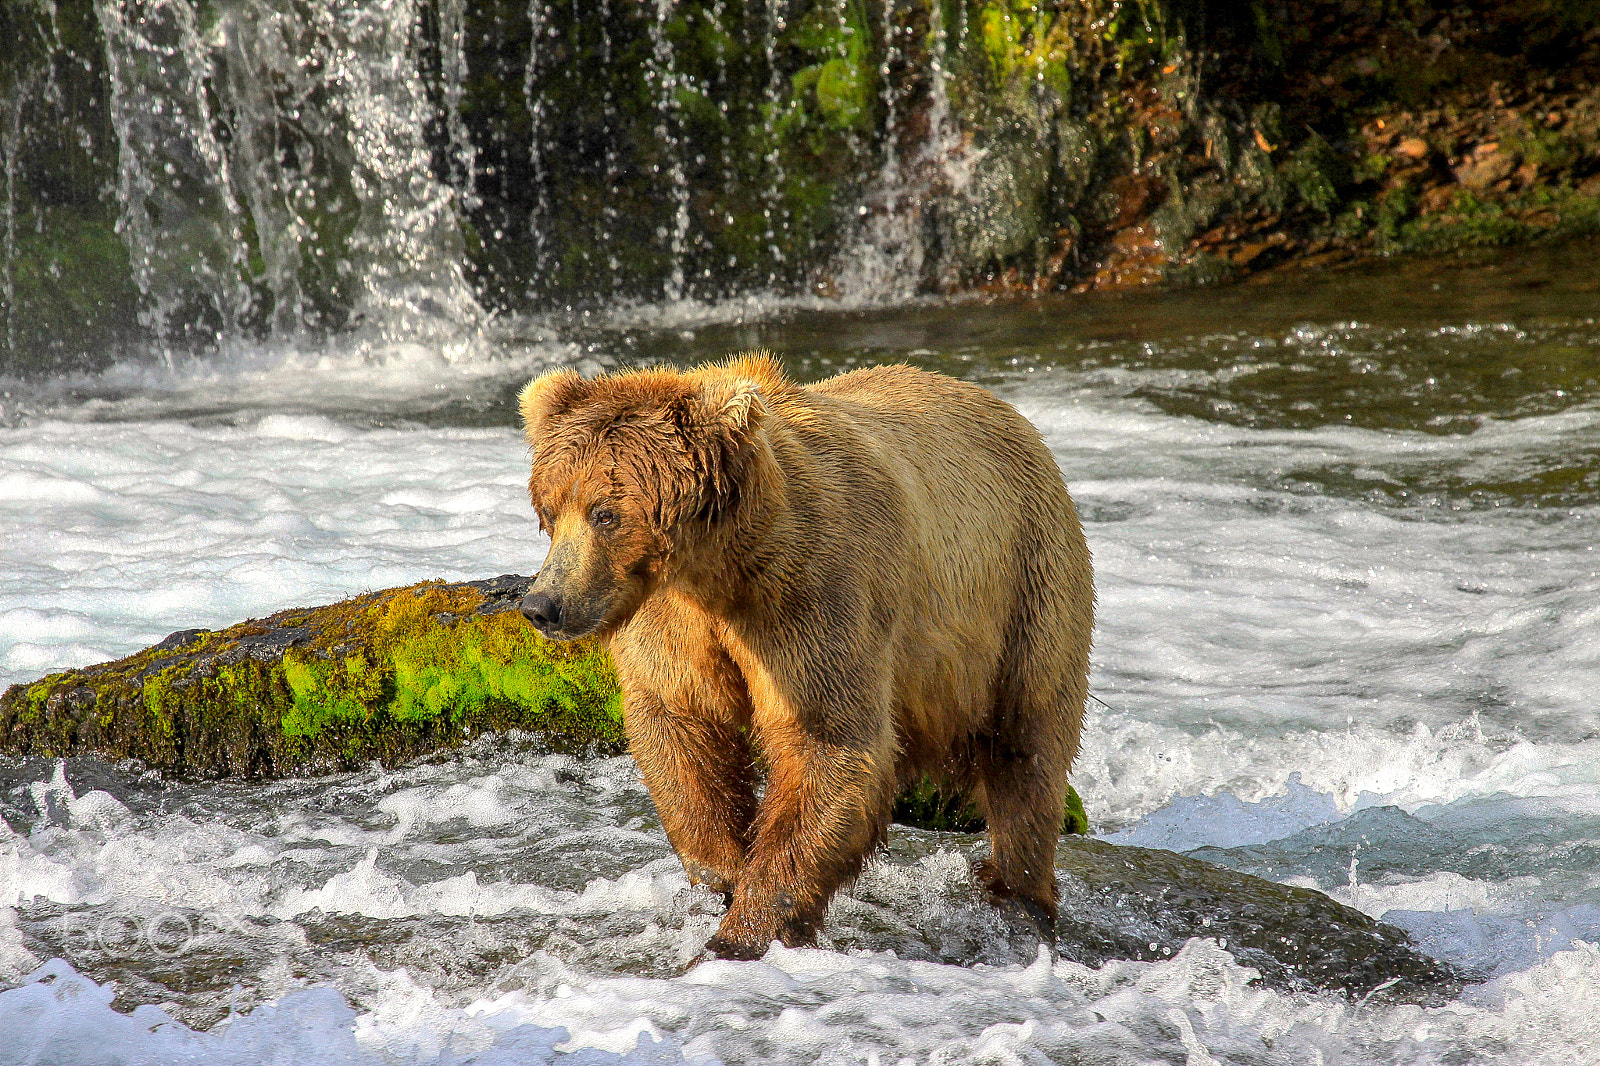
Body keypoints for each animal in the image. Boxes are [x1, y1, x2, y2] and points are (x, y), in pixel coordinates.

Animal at [516, 352, 1093, 960]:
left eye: (604, 513)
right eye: (550, 510)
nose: (542, 605)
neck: (716, 570)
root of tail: (1007, 411)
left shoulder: (811, 596)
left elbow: (828, 745)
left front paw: (742, 932)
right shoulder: (675, 625)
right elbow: (682, 732)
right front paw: (723, 876)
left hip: (1025, 588)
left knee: (1027, 747)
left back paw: (1021, 896)